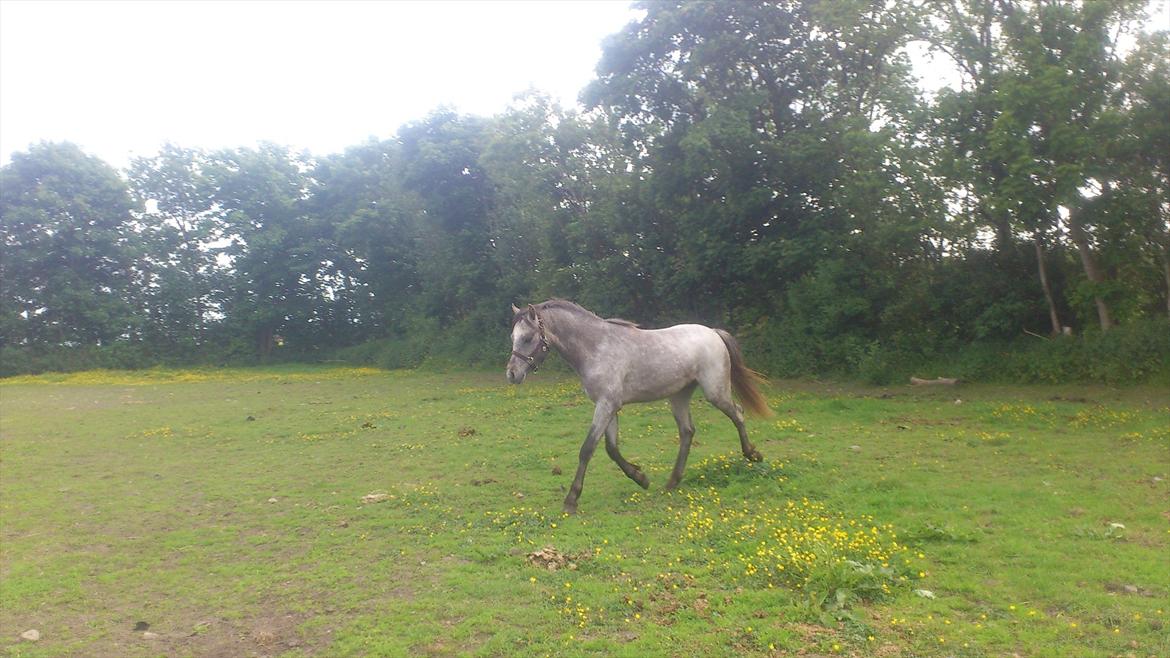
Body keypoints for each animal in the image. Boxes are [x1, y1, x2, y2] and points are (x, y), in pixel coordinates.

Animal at [505, 299, 772, 514]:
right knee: (687, 431)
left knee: (737, 414)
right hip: (679, 396)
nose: (512, 374)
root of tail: (713, 333)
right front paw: (641, 478)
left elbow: (587, 449)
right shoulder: (609, 406)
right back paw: (672, 482)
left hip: (715, 392)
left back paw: (753, 454)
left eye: (527, 338)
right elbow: (611, 449)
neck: (596, 347)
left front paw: (571, 500)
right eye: (513, 338)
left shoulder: (606, 405)